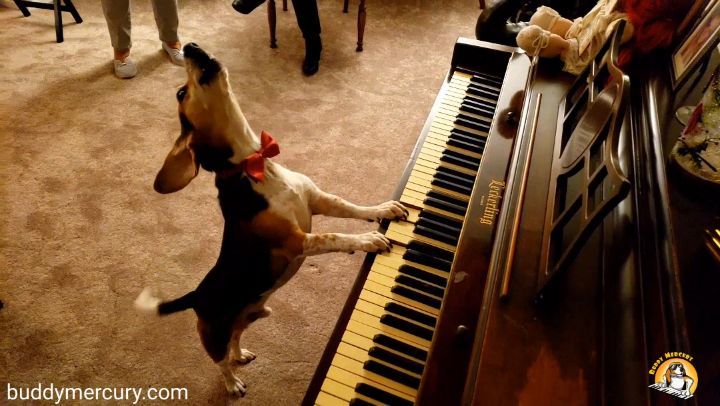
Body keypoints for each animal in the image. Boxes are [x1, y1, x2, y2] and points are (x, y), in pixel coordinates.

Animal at [133, 43, 408, 396]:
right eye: (181, 92)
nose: (191, 45)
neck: (256, 163)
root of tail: (196, 295)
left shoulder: (317, 201)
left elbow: (351, 207)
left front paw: (384, 210)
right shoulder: (296, 241)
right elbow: (334, 236)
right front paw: (368, 240)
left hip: (248, 315)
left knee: (237, 338)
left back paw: (241, 355)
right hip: (214, 334)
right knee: (220, 361)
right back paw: (232, 383)